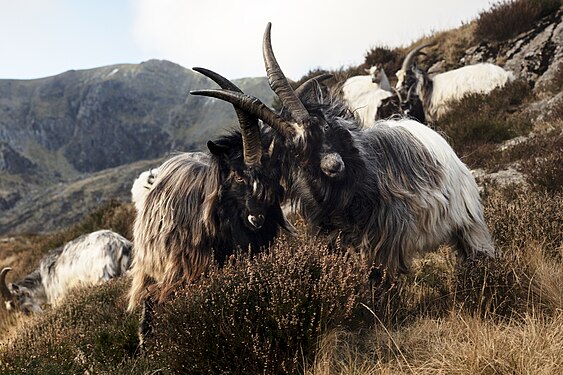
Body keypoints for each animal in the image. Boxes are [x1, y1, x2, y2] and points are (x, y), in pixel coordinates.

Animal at [193, 21, 494, 280]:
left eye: (324, 128)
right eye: (297, 150)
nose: (333, 165)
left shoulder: (386, 238)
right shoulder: (336, 239)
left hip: (468, 221)